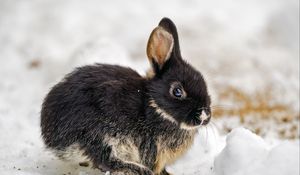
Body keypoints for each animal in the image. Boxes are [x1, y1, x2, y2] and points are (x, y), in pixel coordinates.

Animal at [41, 17, 211, 175]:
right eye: (177, 91)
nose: (204, 116)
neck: (154, 105)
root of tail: (52, 137)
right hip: (99, 133)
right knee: (105, 160)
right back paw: (138, 169)